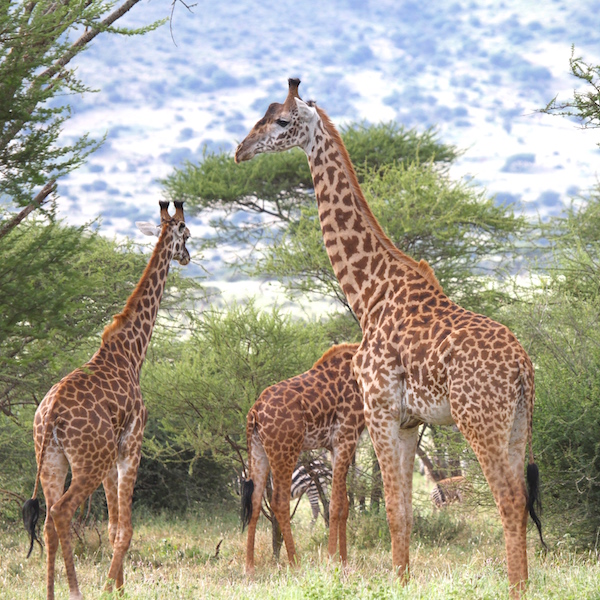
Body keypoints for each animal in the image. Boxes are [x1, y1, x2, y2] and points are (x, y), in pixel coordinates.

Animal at [22, 199, 191, 596]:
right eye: (187, 234)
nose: (188, 257)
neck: (132, 352)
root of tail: (50, 415)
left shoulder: (112, 455)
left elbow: (114, 527)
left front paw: (119, 588)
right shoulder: (131, 444)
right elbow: (126, 529)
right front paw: (109, 588)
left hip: (52, 459)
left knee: (49, 519)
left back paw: (51, 592)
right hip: (88, 462)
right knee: (62, 512)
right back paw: (75, 591)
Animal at [240, 340, 364, 576]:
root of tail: (255, 412)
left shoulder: (335, 445)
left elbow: (344, 503)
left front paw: (343, 562)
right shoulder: (346, 437)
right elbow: (335, 504)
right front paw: (332, 561)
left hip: (258, 452)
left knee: (255, 500)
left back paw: (250, 566)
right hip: (286, 450)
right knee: (279, 502)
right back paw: (295, 563)